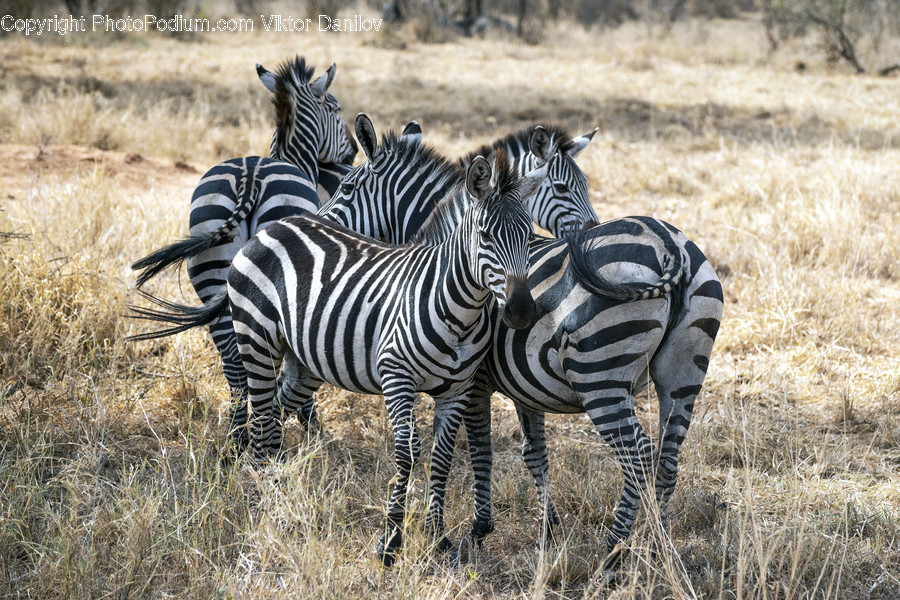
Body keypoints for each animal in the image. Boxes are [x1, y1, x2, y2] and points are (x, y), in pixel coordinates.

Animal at [128, 144, 550, 566]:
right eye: (484, 236)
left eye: (530, 236)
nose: (521, 311)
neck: (457, 307)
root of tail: (272, 226)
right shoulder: (396, 377)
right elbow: (408, 453)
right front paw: (390, 543)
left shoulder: (457, 389)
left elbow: (442, 457)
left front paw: (439, 540)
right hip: (257, 340)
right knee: (262, 421)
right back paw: (265, 504)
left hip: (302, 361)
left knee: (276, 416)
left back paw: (280, 494)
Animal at [131, 56, 356, 450]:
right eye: (336, 109)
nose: (353, 151)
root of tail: (249, 178)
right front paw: (310, 423)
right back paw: (258, 436)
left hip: (216, 274)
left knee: (235, 362)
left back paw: (237, 438)